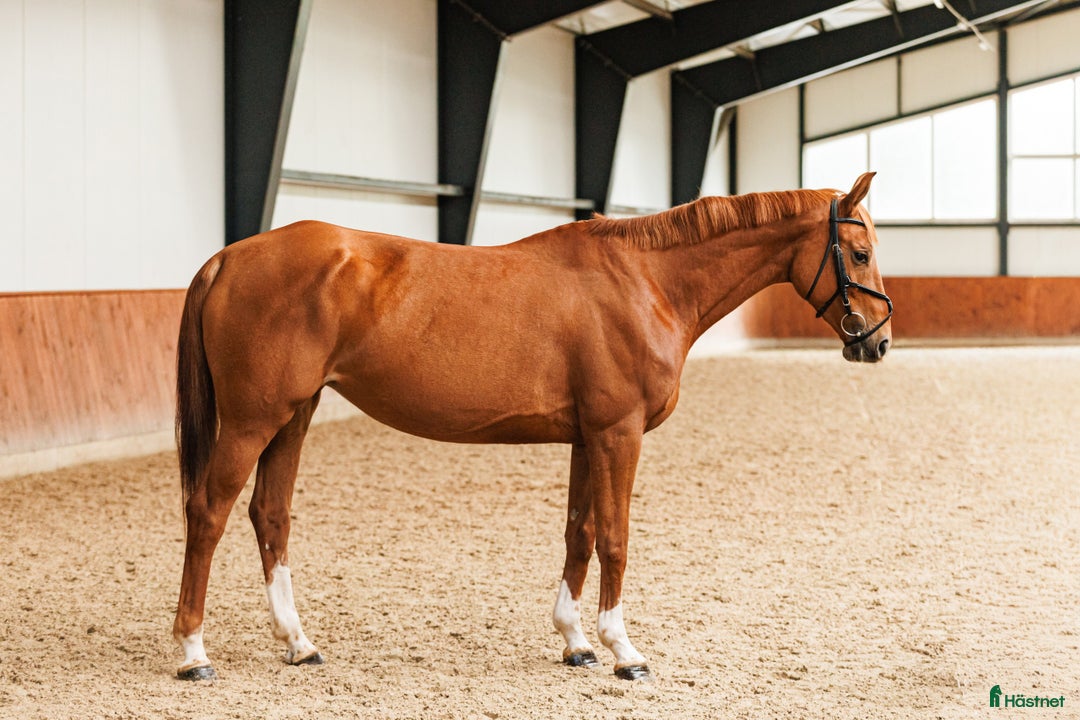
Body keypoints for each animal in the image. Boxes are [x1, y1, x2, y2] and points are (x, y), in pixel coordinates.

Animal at [172, 172, 892, 681]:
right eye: (858, 253)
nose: (877, 344)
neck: (646, 282)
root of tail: (228, 258)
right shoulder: (618, 434)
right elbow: (617, 540)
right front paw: (624, 650)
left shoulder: (587, 437)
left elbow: (580, 534)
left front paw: (575, 642)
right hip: (253, 420)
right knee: (208, 512)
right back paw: (192, 652)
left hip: (293, 416)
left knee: (269, 515)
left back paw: (298, 643)